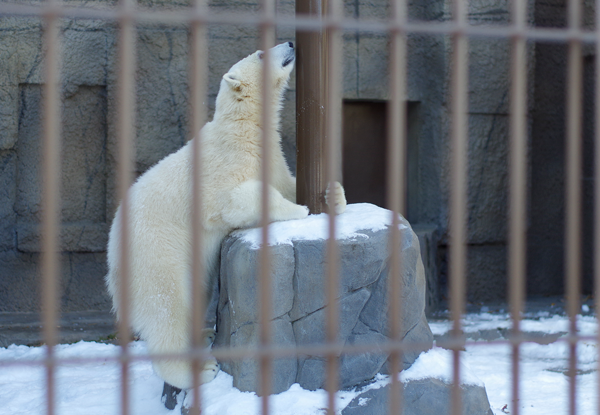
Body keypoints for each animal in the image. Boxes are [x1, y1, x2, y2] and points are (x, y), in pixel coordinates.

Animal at [105, 41, 344, 400]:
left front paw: (333, 196)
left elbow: (286, 183)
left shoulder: (270, 157)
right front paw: (300, 211)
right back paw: (200, 370)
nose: (290, 42)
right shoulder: (222, 170)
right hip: (153, 255)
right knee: (167, 309)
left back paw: (203, 336)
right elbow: (237, 200)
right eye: (261, 53)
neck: (242, 129)